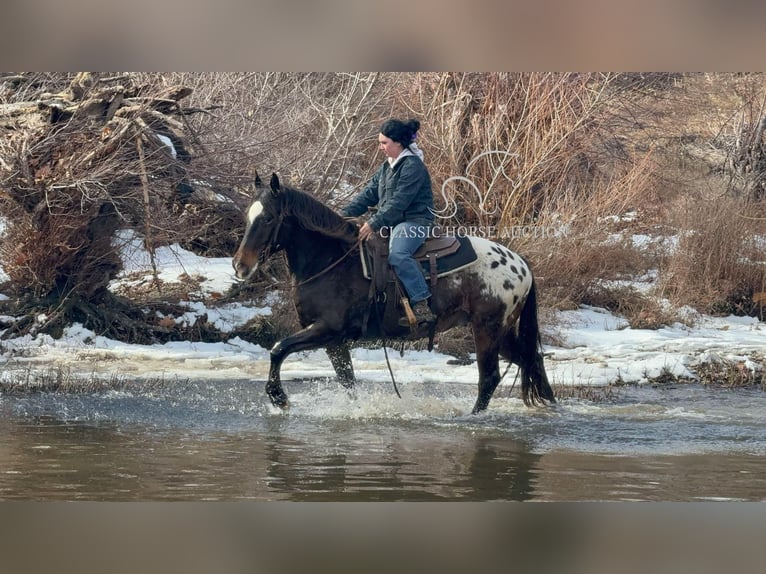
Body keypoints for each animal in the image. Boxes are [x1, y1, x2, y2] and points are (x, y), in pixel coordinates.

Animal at [231, 173, 556, 416]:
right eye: (247, 215)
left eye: (269, 218)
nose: (240, 265)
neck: (331, 260)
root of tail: (520, 263)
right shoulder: (334, 342)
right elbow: (347, 381)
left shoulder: (326, 330)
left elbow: (278, 348)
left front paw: (279, 397)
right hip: (502, 332)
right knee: (532, 361)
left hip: (487, 329)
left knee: (489, 378)